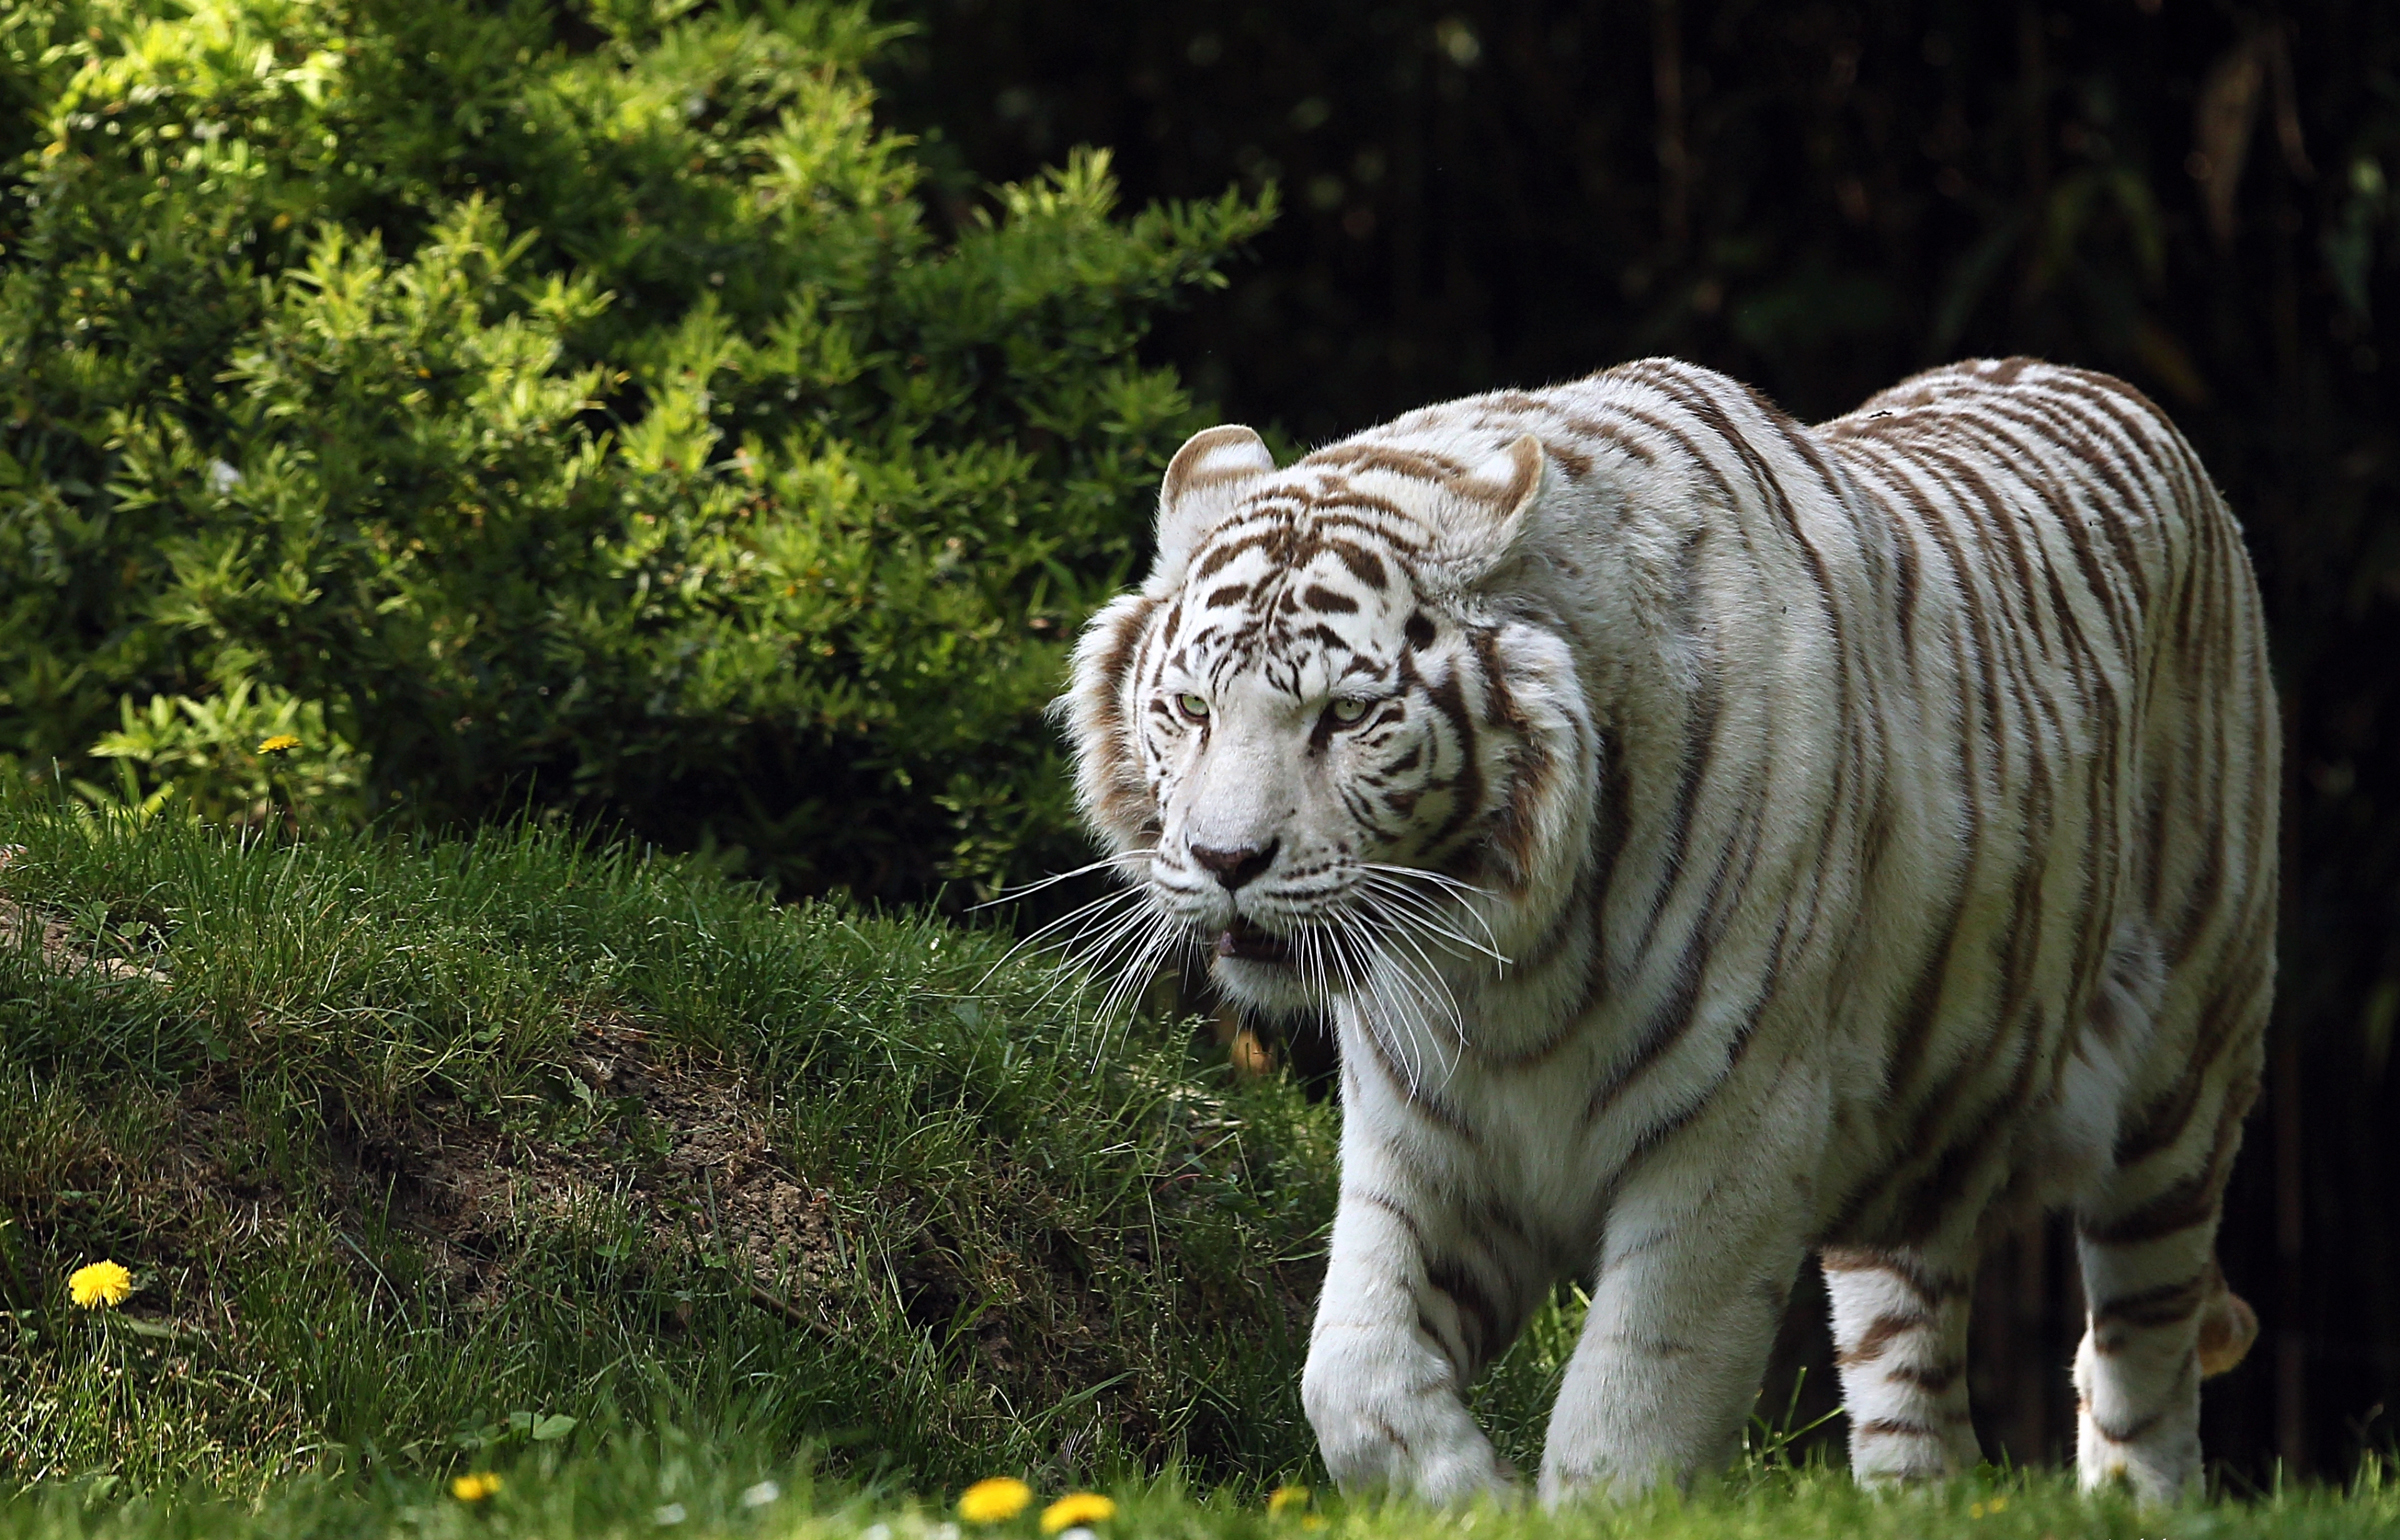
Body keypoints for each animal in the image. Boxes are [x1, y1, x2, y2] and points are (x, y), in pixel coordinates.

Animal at [1060, 355, 2275, 1496]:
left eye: (1347, 717)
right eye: (1191, 709)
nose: (1226, 862)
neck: (1499, 964)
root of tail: (2121, 392)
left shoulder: (1734, 1136)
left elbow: (1632, 1408)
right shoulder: (1424, 1140)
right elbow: (1352, 1378)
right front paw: (1473, 1497)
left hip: (2182, 1086)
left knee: (2145, 1353)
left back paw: (2134, 1495)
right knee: (1916, 1383)